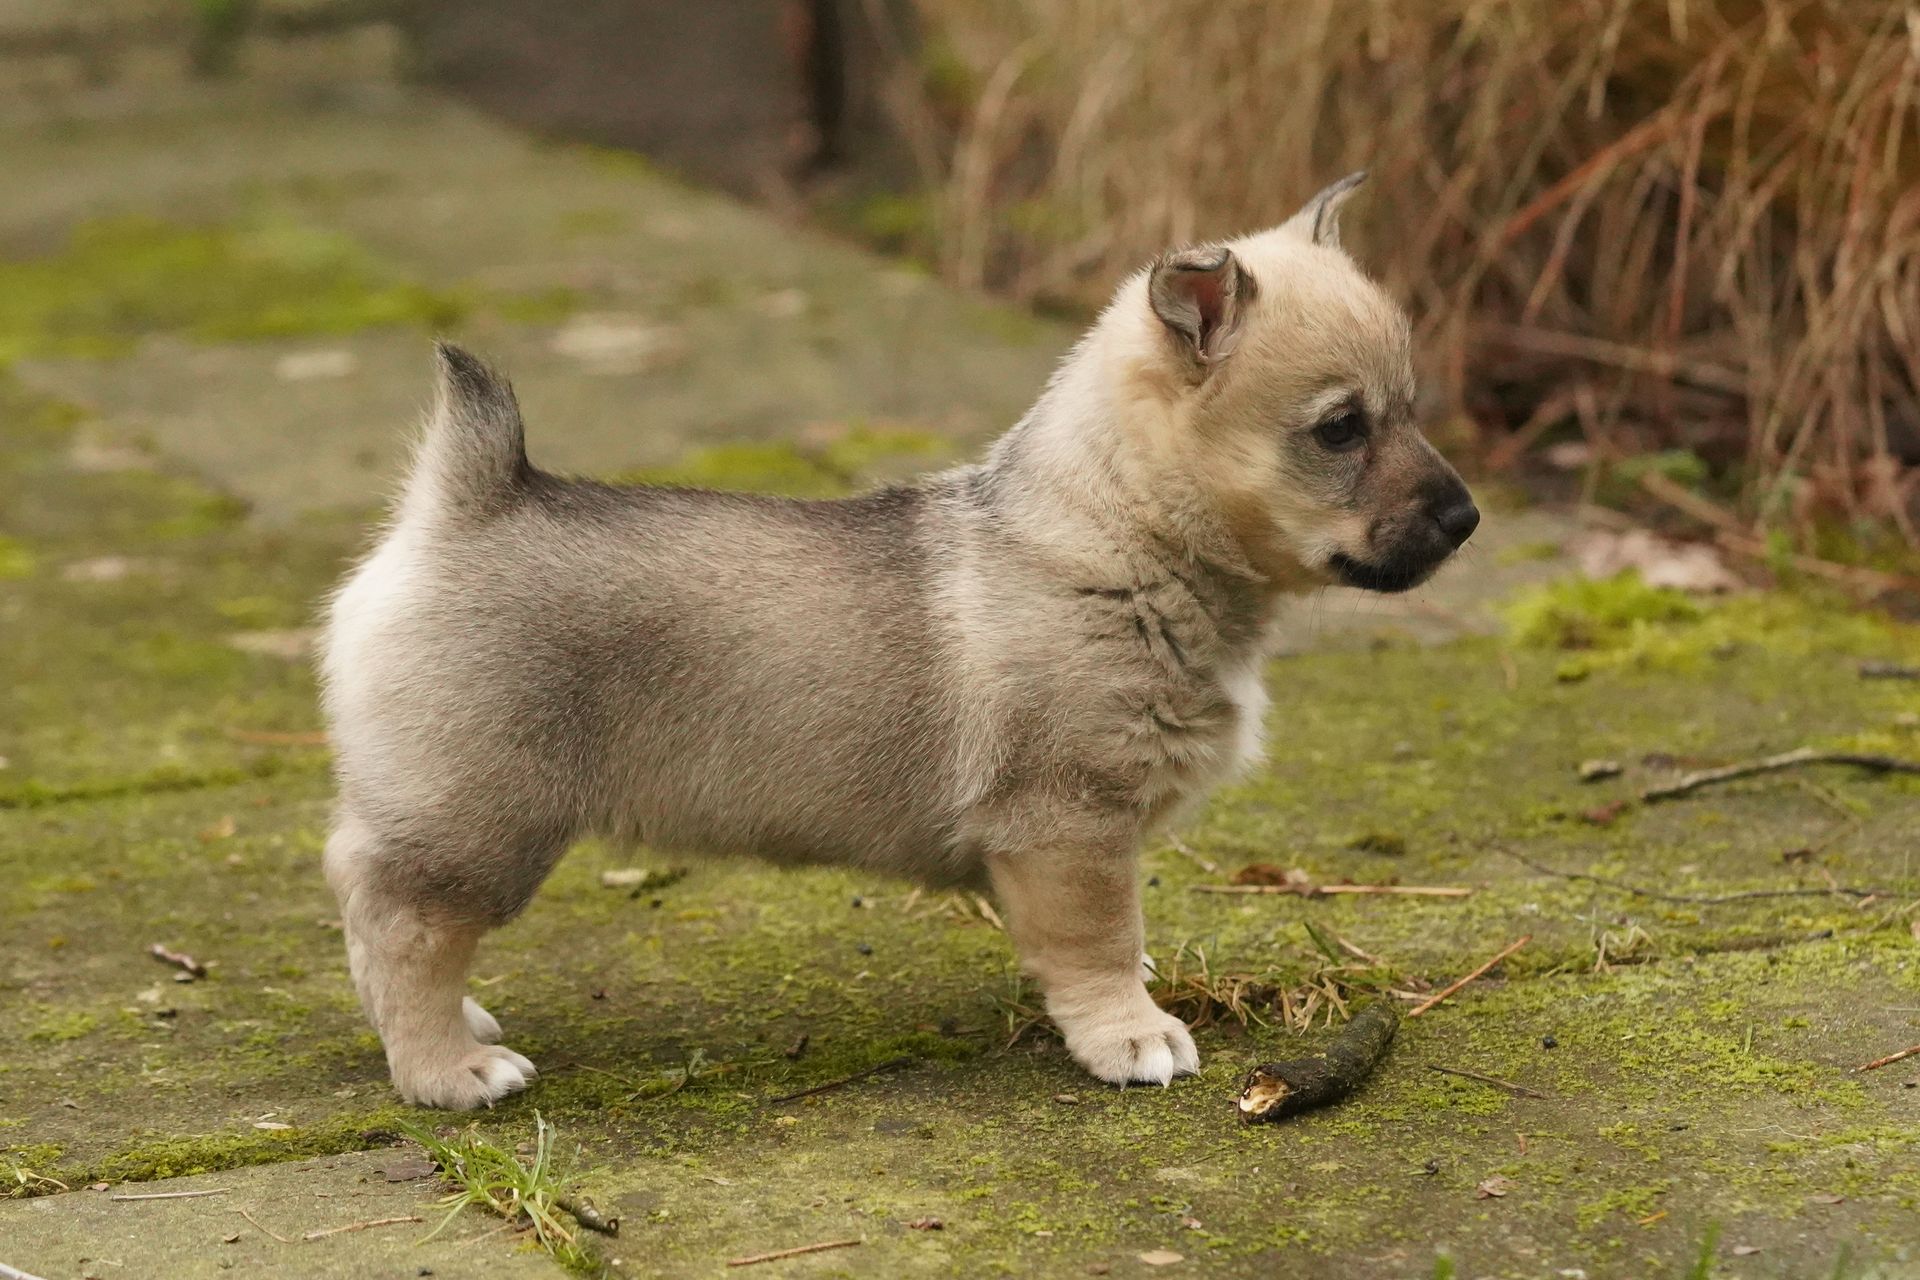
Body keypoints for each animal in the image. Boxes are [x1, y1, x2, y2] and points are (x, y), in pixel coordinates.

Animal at [322, 175, 1474, 1105]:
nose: (1467, 519)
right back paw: (447, 1066)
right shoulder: (1072, 825)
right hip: (485, 822)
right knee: (399, 923)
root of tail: (462, 504)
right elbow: (1103, 941)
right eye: (1340, 428)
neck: (1123, 530)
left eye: (1412, 407)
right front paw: (1131, 1033)